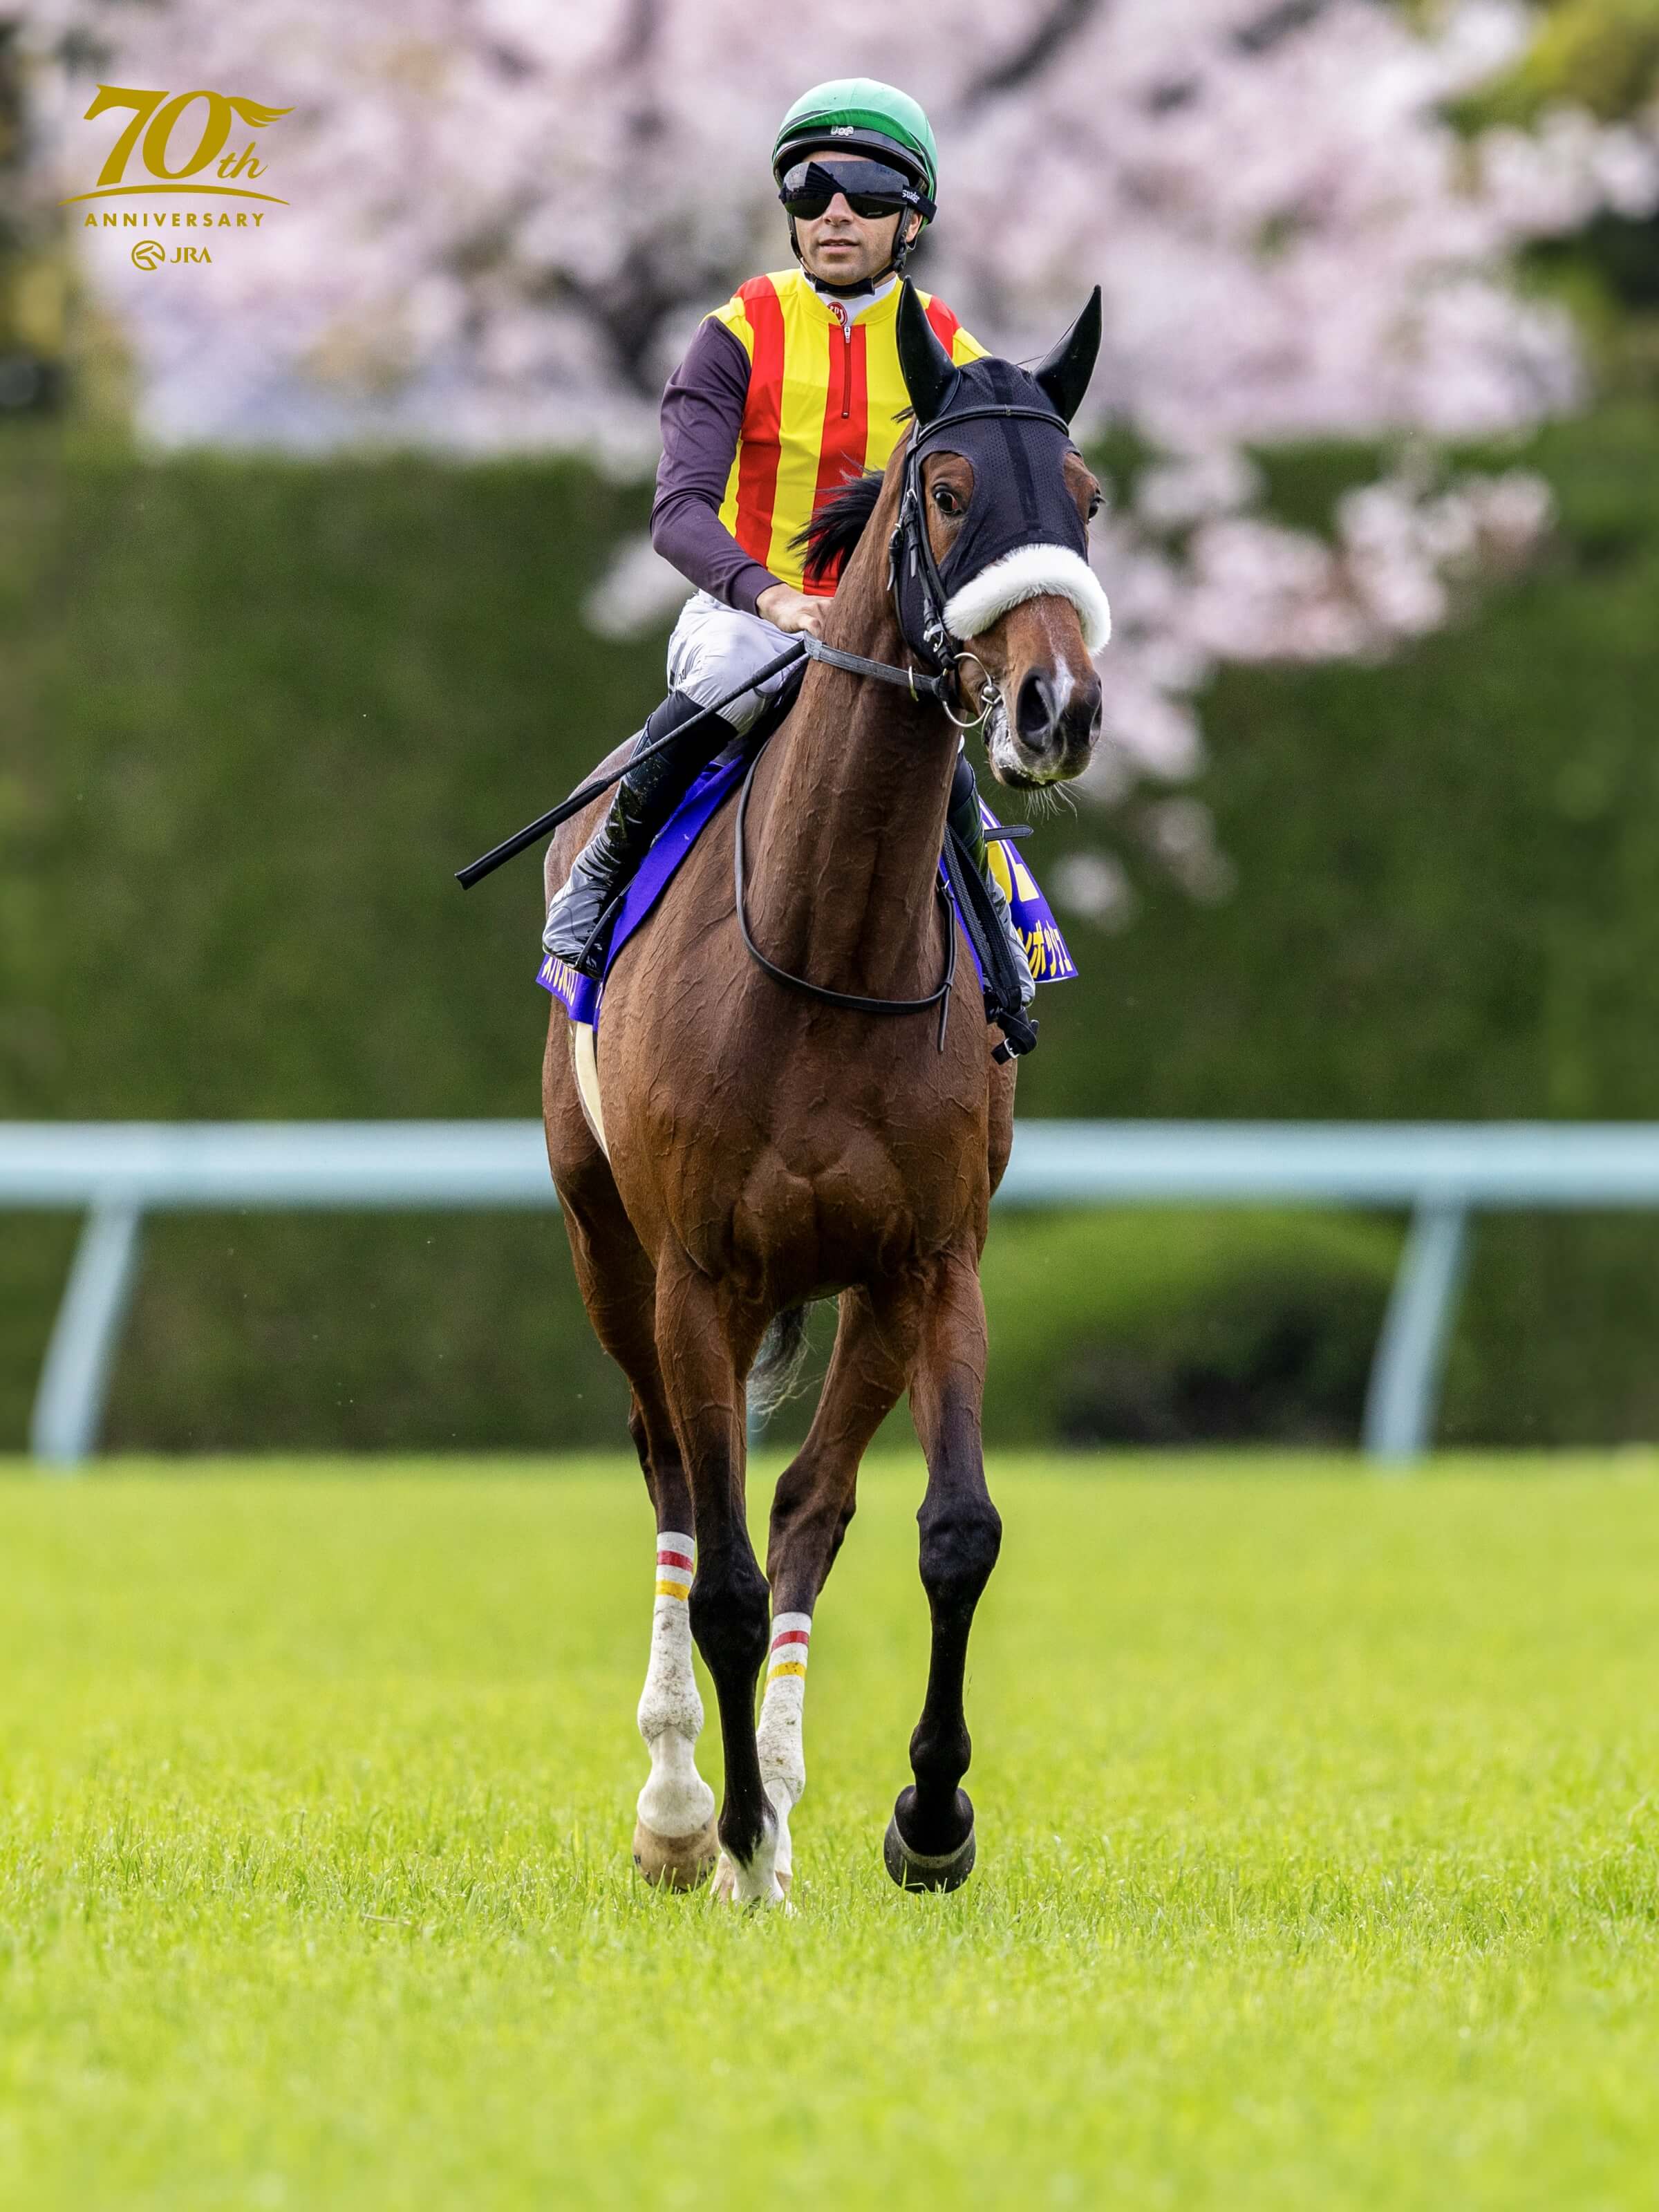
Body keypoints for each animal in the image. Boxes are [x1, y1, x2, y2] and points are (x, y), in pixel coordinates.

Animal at [542, 280, 1108, 1904]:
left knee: (811, 1505)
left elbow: (952, 1531)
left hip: (860, 1289)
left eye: (1089, 497)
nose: (1054, 706)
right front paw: (720, 1824)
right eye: (950, 488)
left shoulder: (935, 1255)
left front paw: (928, 1818)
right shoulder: (697, 1271)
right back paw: (686, 1810)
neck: (827, 947)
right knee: (676, 1486)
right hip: (607, 1249)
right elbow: (721, 1573)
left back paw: (780, 1812)